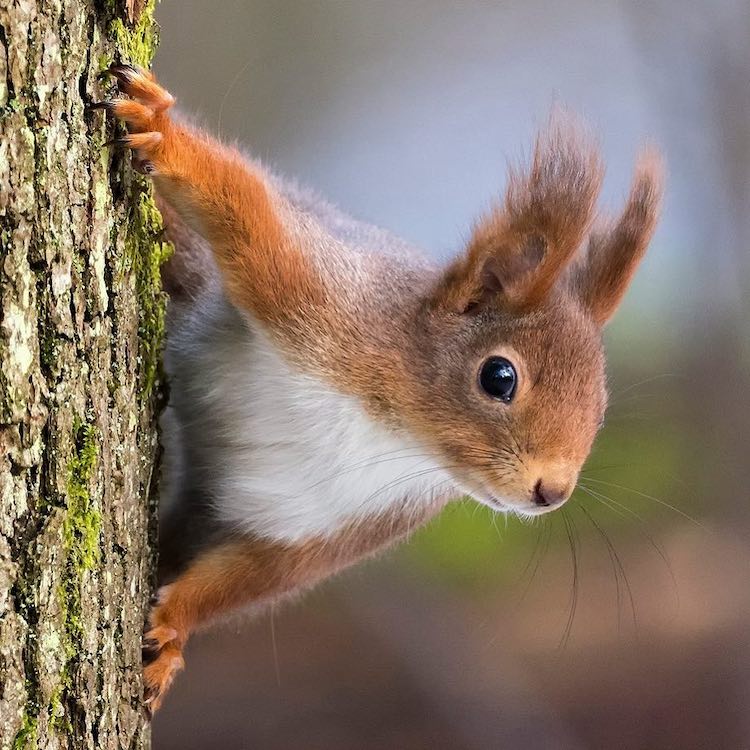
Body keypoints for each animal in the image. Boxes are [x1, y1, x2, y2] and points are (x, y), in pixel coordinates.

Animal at [96, 64, 663, 712]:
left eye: (601, 407)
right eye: (499, 377)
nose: (552, 492)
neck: (392, 431)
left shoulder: (327, 527)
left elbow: (246, 578)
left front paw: (172, 633)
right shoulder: (323, 297)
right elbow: (247, 212)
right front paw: (164, 135)